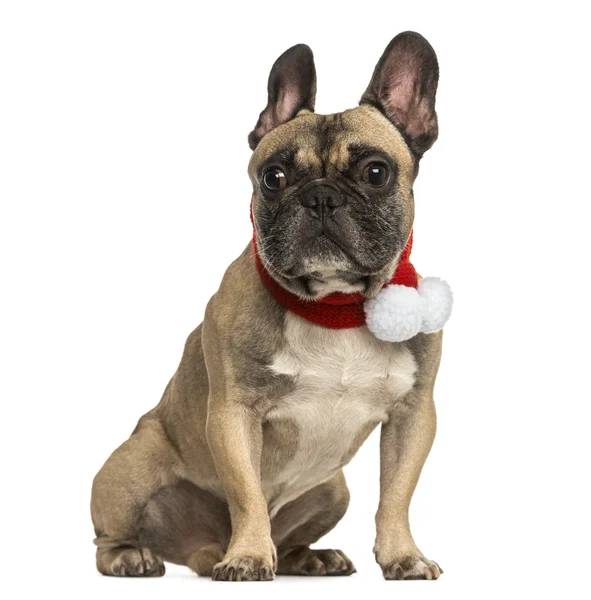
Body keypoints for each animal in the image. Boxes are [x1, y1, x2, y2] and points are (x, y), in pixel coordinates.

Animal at [91, 31, 444, 580]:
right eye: (273, 177)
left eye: (376, 172)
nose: (320, 197)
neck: (333, 308)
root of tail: (201, 548)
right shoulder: (234, 413)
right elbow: (247, 494)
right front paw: (248, 556)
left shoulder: (413, 416)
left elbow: (396, 496)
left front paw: (404, 556)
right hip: (132, 467)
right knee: (109, 537)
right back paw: (135, 556)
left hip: (334, 490)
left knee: (293, 534)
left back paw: (311, 557)